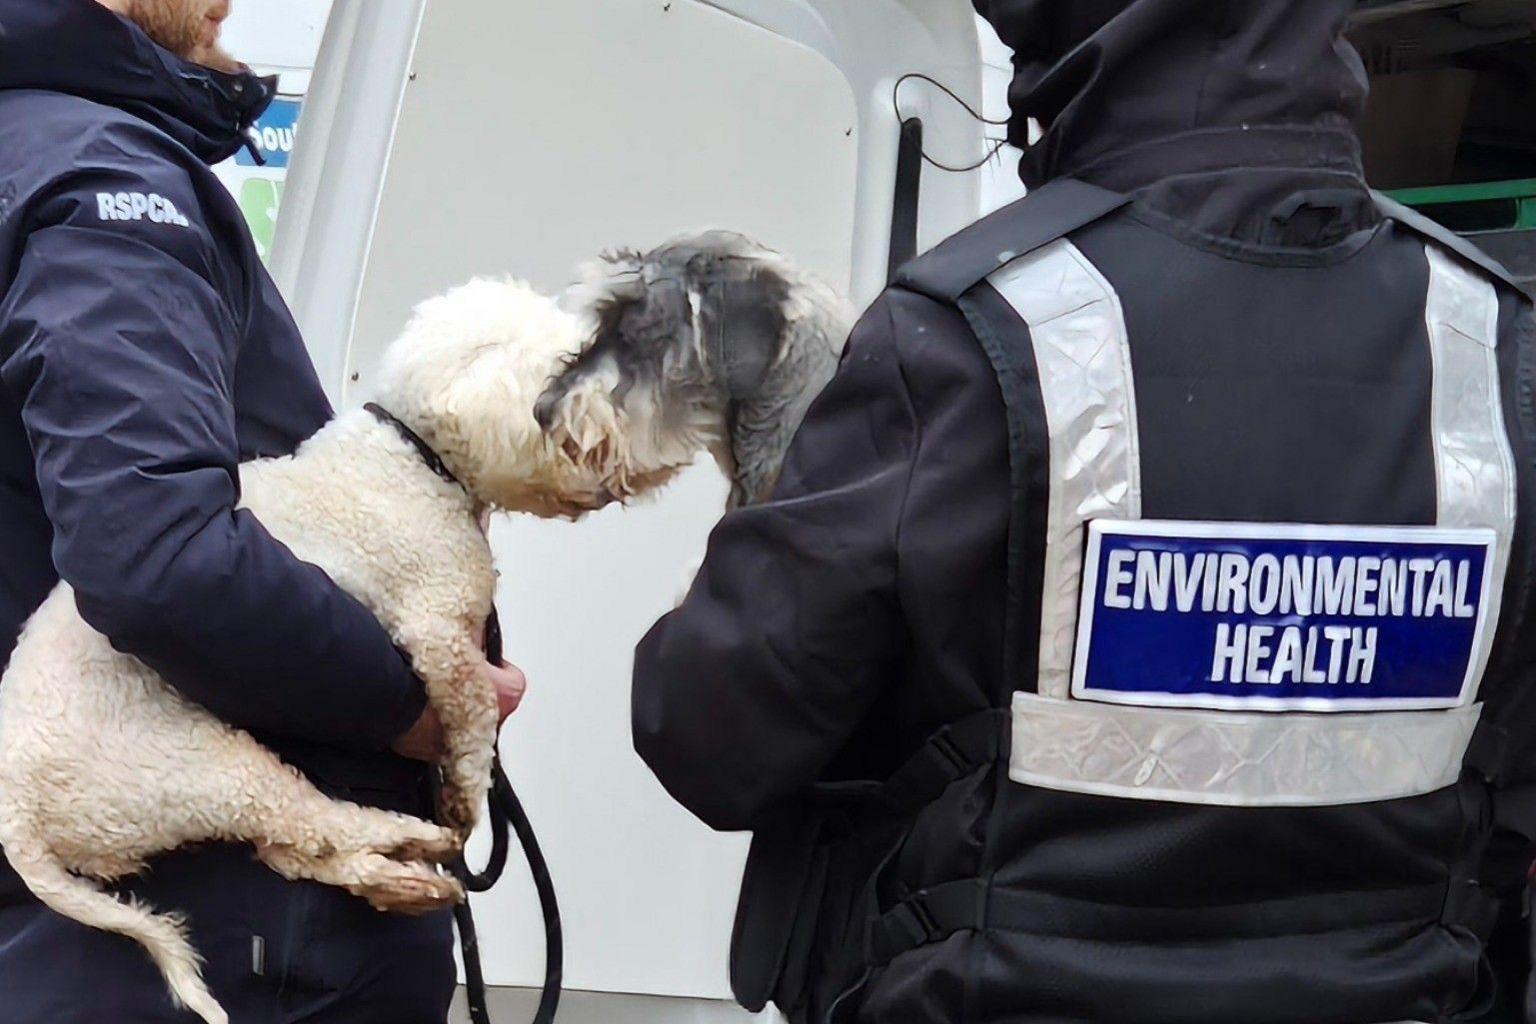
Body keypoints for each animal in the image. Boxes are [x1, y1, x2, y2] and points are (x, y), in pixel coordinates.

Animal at [0, 231, 847, 1024]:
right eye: (567, 362)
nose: (587, 424)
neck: (414, 455)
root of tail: (19, 821)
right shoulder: (441, 633)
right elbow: (472, 722)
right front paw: (466, 797)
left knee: (297, 848)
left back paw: (406, 876)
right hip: (196, 763)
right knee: (315, 822)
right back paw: (418, 842)